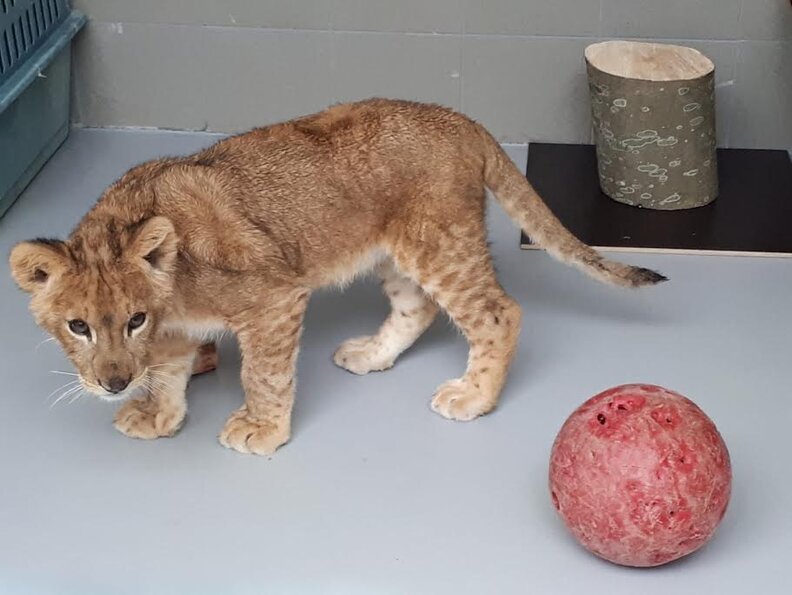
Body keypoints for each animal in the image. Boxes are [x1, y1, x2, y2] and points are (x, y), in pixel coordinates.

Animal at [9, 99, 665, 455]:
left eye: (133, 319)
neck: (171, 292)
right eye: (77, 327)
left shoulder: (273, 298)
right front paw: (157, 415)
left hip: (442, 243)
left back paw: (472, 396)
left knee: (497, 313)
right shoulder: (174, 333)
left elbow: (264, 373)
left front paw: (260, 429)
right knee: (419, 307)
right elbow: (169, 374)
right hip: (394, 253)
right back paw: (372, 354)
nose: (115, 383)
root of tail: (457, 118)